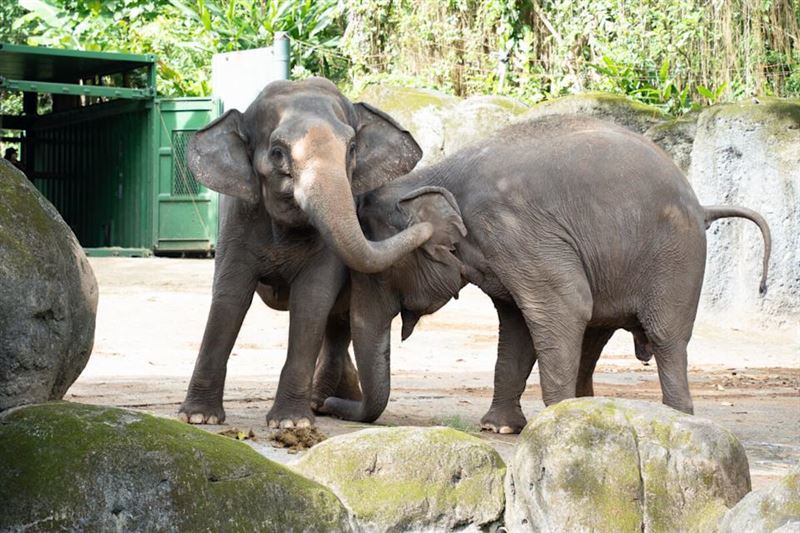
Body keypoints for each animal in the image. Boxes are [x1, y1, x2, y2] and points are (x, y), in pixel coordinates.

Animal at [178, 78, 431, 428]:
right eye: (277, 153)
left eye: (352, 149)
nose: (427, 223)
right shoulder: (238, 216)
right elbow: (231, 293)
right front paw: (198, 417)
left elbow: (312, 298)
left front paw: (290, 423)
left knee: (337, 323)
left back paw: (322, 402)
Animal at [320, 114, 771, 434]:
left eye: (380, 273)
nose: (327, 406)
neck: (432, 176)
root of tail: (702, 206)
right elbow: (518, 325)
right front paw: (498, 428)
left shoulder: (516, 230)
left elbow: (562, 308)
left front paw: (551, 424)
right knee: (594, 335)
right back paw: (592, 410)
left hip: (676, 258)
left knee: (666, 337)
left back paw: (677, 420)